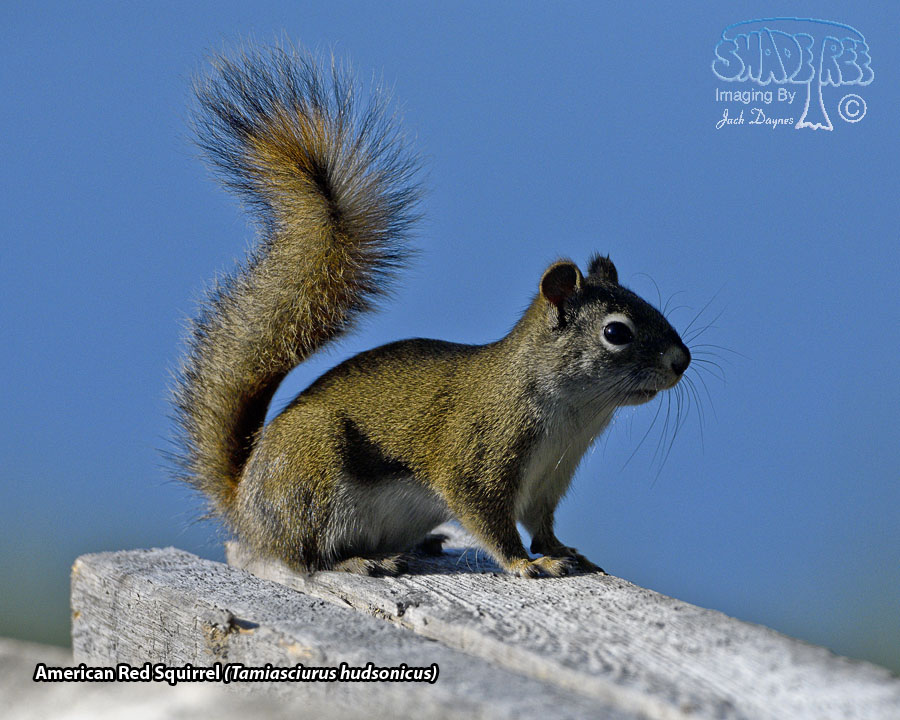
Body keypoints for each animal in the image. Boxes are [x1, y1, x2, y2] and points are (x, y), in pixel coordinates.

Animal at [173, 46, 691, 579]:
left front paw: (563, 551)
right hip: (314, 474)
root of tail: (245, 505)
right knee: (305, 556)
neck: (572, 414)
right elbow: (491, 522)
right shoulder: (477, 460)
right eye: (617, 332)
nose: (682, 361)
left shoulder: (549, 478)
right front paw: (526, 565)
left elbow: (541, 524)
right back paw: (362, 561)